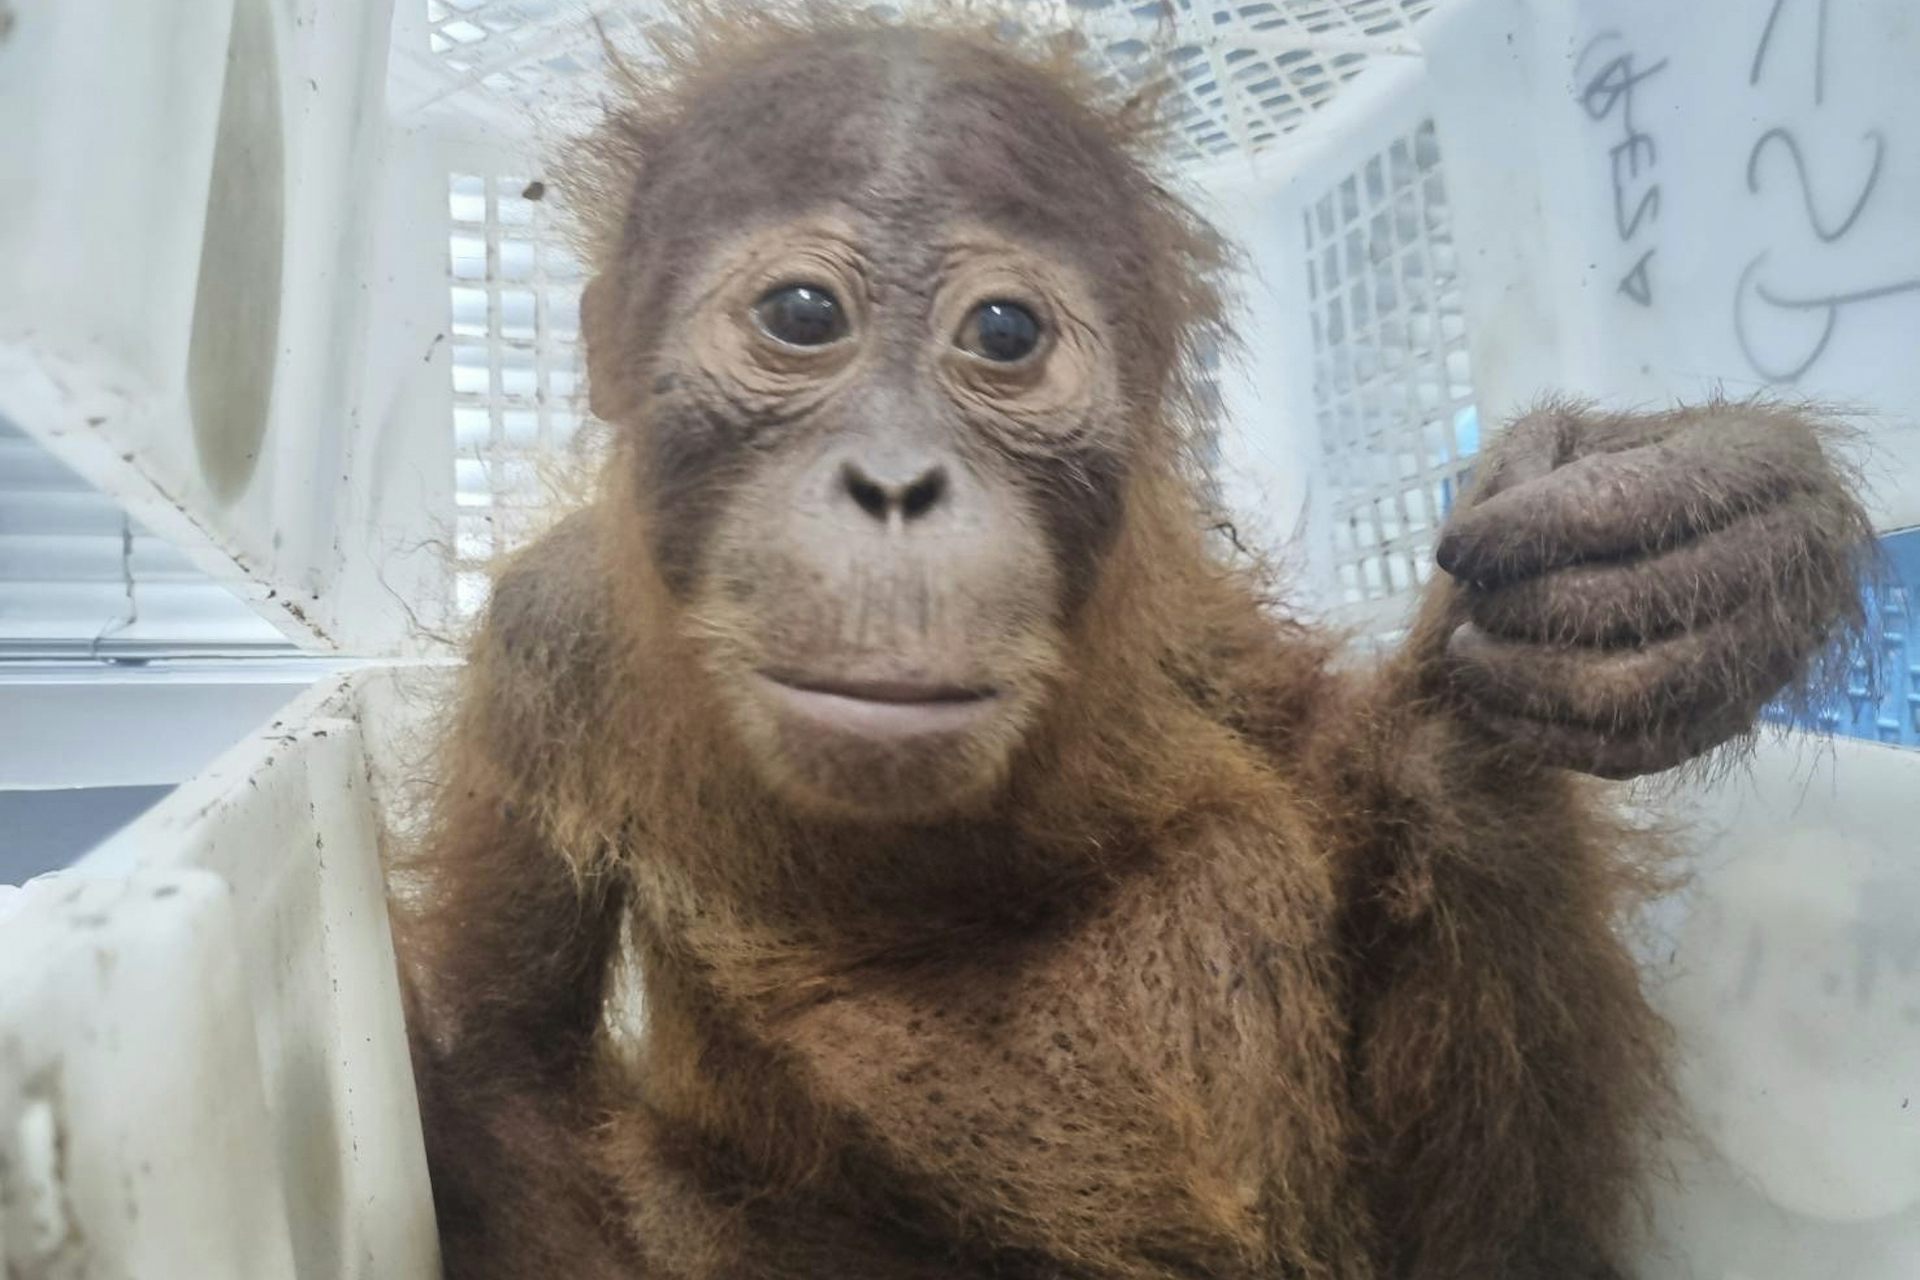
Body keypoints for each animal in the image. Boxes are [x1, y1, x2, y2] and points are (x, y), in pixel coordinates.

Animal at [394, 12, 1874, 1280]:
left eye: (1003, 335)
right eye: (802, 317)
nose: (894, 484)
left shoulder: (1182, 621)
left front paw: (1703, 541)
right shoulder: (544, 636)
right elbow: (506, 1056)